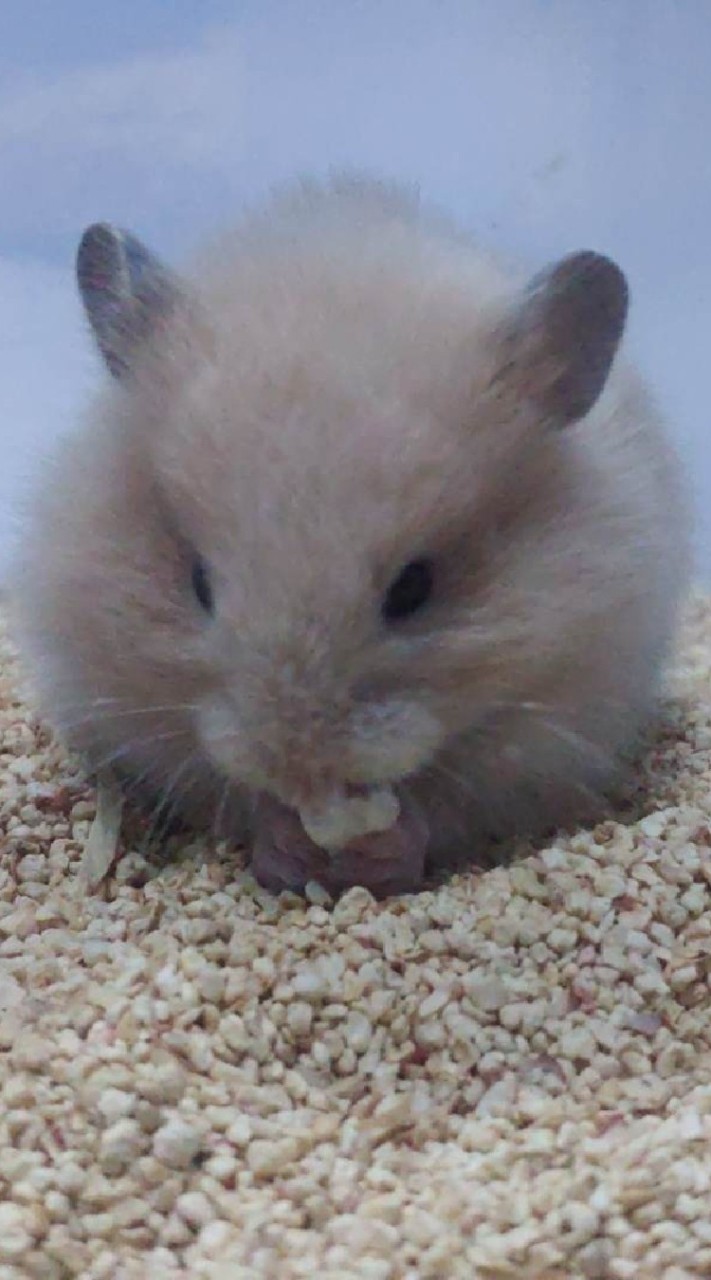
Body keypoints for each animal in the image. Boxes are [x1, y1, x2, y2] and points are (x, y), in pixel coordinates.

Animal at [11, 175, 690, 898]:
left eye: (415, 588)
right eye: (198, 583)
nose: (300, 772)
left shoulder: (555, 731)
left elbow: (446, 803)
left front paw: (373, 848)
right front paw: (290, 840)